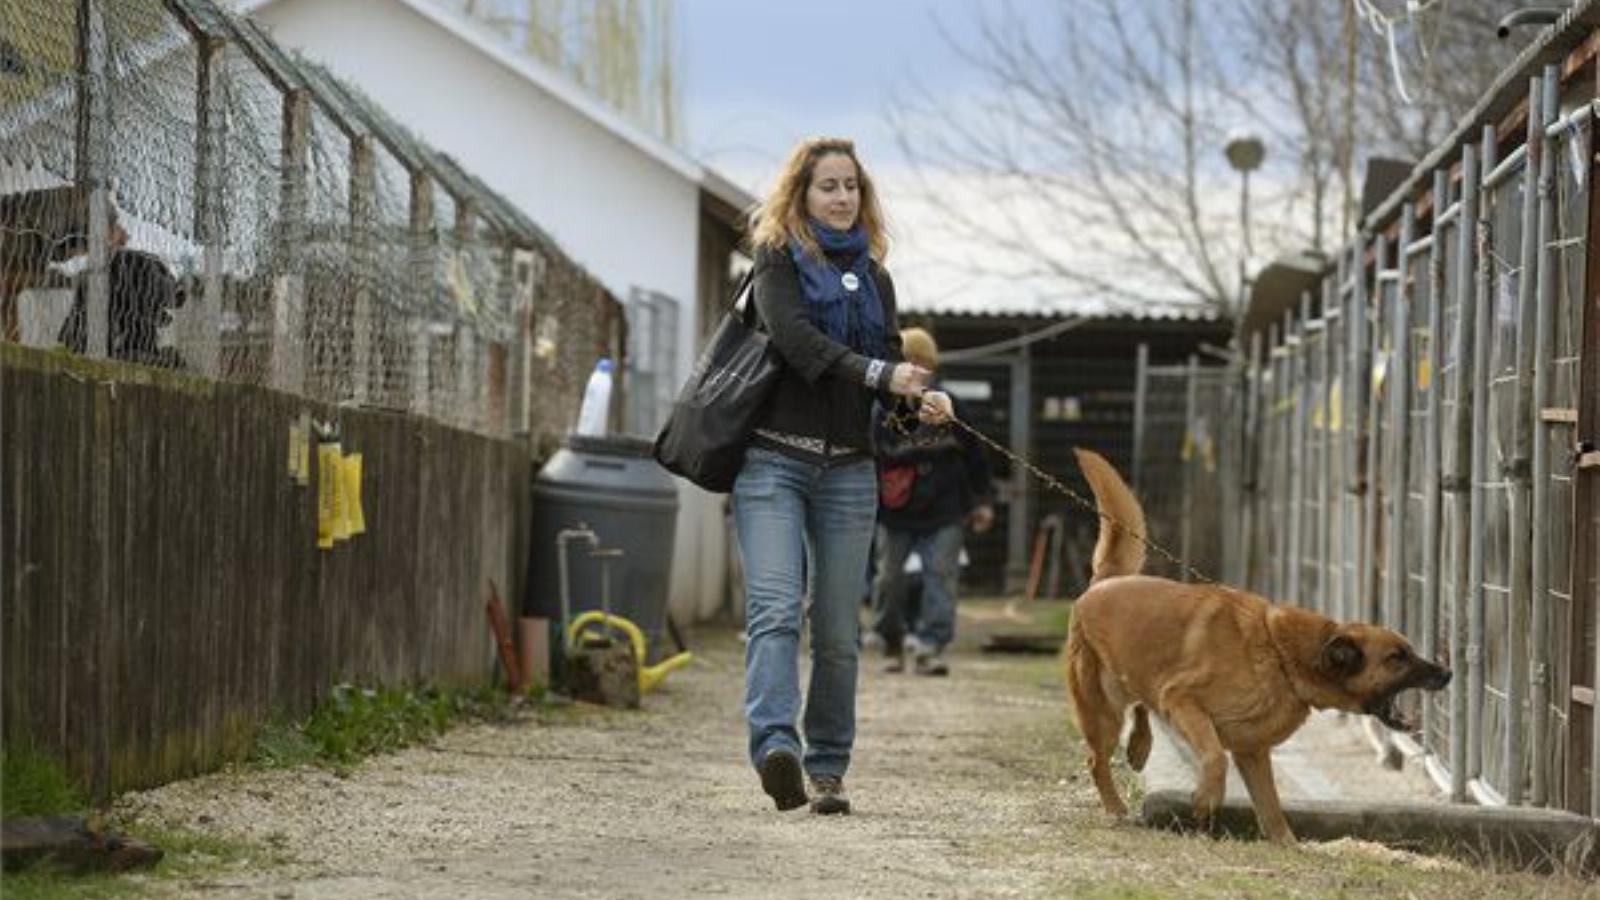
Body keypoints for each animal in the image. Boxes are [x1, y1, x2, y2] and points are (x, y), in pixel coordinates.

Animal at [1062, 448, 1452, 839]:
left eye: (1408, 651)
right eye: (1397, 657)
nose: (1447, 673)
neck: (1283, 655)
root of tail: (1106, 580)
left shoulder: (1252, 752)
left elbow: (1272, 810)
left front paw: (1289, 845)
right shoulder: (1183, 700)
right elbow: (1215, 757)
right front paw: (1205, 799)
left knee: (1142, 702)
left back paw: (1140, 747)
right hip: (1102, 708)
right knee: (1096, 758)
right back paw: (1115, 806)